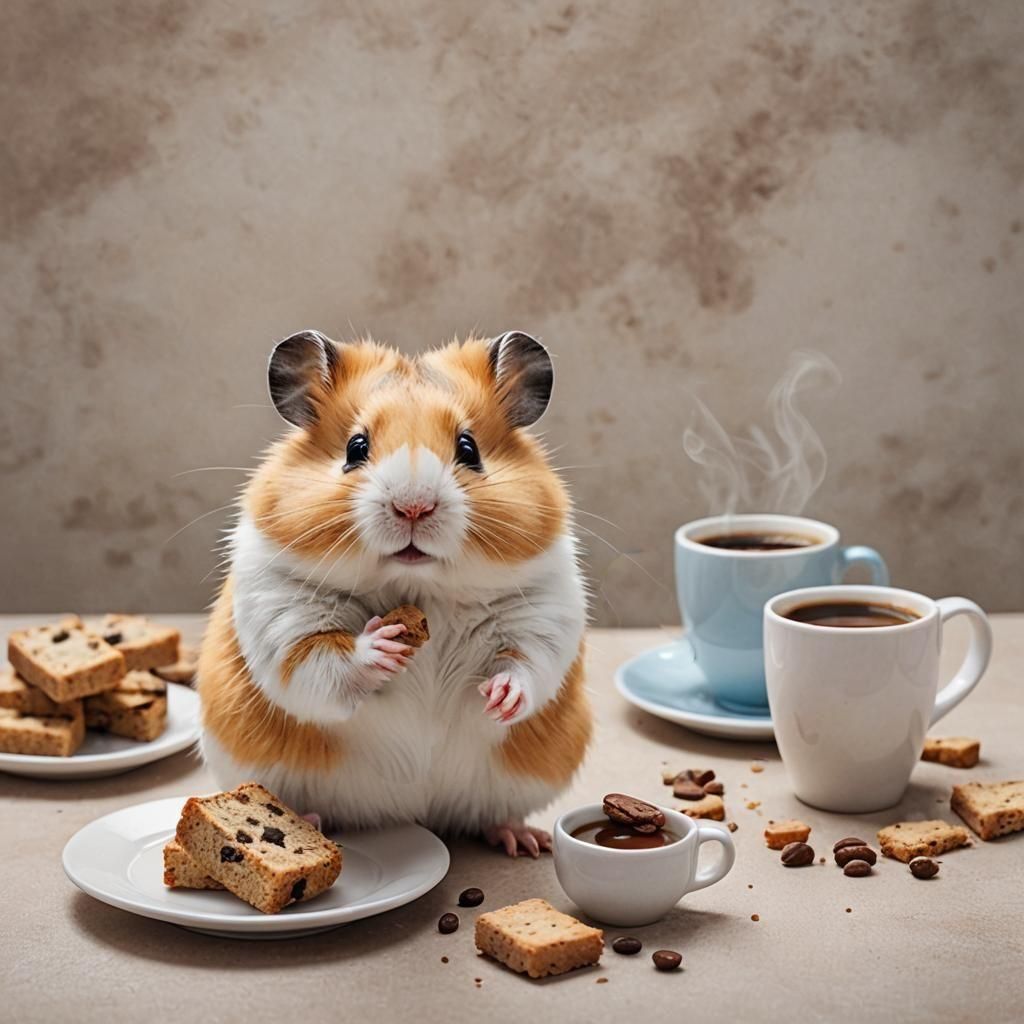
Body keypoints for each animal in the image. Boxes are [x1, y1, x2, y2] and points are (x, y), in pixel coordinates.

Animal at [197, 329, 591, 856]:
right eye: (356, 446)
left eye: (469, 448)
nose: (413, 507)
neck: (417, 584)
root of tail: (412, 811)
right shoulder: (282, 616)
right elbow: (321, 662)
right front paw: (382, 645)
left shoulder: (543, 608)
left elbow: (527, 663)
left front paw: (499, 698)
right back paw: (311, 820)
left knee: (489, 815)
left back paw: (524, 840)